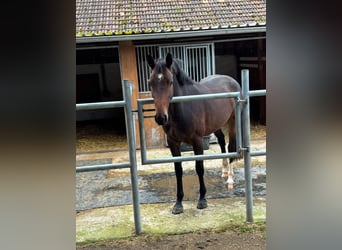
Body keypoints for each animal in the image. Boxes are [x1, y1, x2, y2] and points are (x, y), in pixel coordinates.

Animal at [147, 53, 240, 214]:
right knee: (222, 141)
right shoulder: (173, 143)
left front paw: (202, 199)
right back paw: (224, 171)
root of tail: (231, 80)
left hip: (232, 121)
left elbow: (199, 168)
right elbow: (178, 170)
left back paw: (230, 179)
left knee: (231, 147)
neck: (184, 106)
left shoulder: (197, 141)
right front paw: (178, 203)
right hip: (216, 124)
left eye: (170, 82)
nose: (161, 118)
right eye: (151, 83)